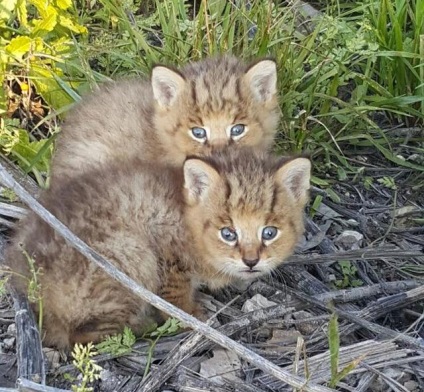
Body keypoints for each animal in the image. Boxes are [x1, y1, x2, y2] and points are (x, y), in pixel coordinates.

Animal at [5, 148, 312, 350]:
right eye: (228, 233)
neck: (187, 218)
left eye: (269, 232)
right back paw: (142, 326)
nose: (251, 261)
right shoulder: (166, 253)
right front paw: (192, 317)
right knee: (78, 336)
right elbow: (175, 297)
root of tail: (31, 286)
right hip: (132, 253)